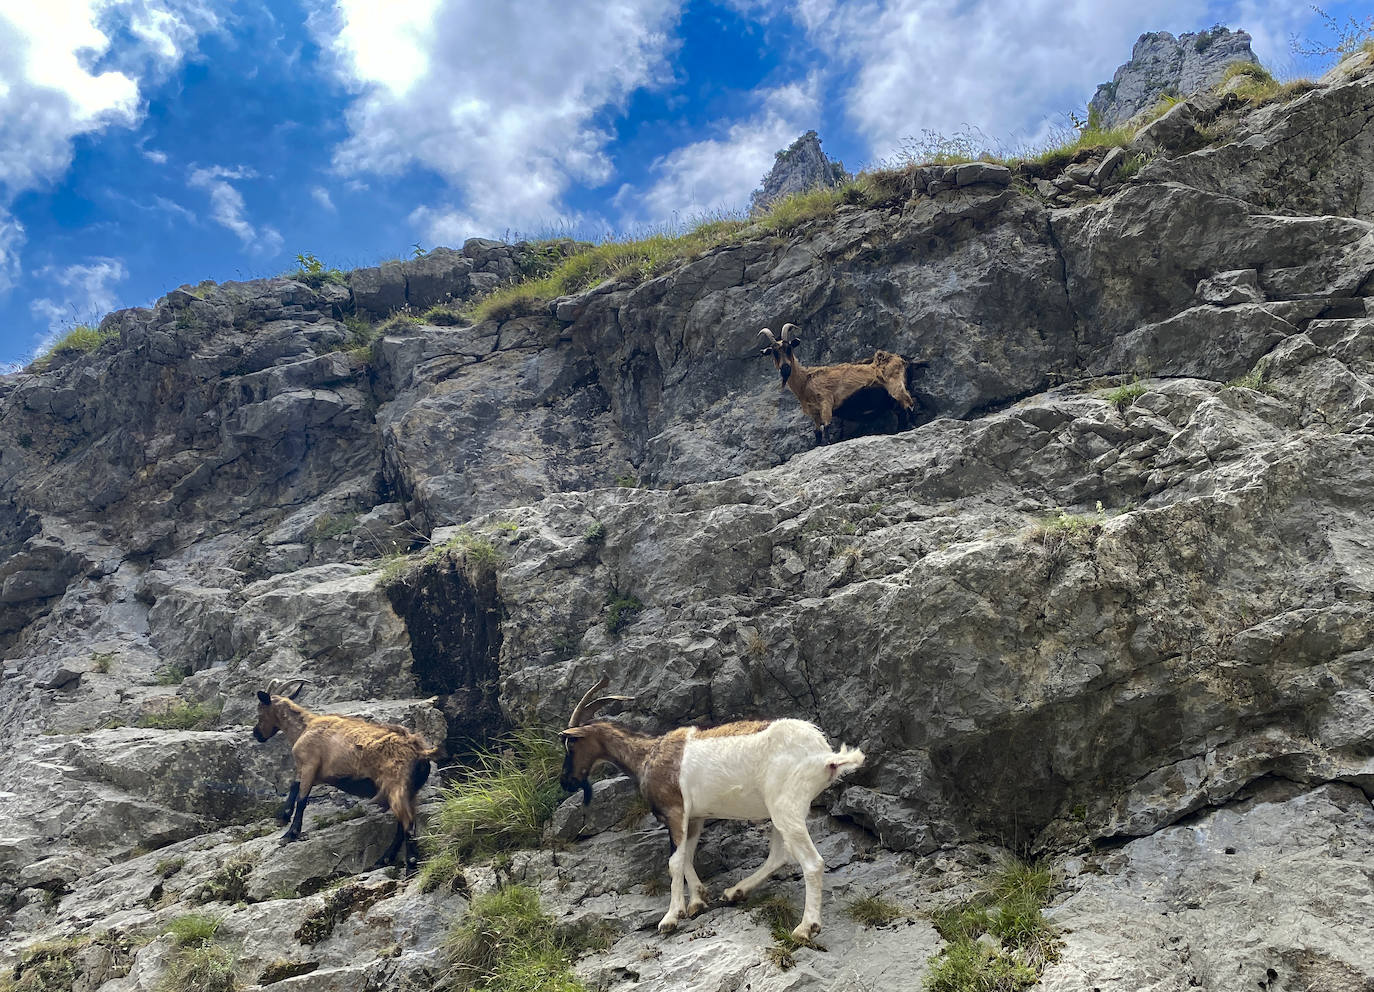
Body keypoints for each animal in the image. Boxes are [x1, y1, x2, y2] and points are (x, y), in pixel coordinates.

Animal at [250, 681, 436, 868]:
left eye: (260, 711)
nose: (256, 734)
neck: (304, 727)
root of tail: (421, 752)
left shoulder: (310, 765)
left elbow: (302, 800)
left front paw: (290, 834)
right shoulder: (308, 770)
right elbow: (294, 786)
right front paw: (284, 816)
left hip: (397, 787)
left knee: (408, 824)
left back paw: (409, 864)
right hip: (409, 791)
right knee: (402, 825)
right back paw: (384, 859)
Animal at [555, 675, 857, 939]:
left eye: (572, 743)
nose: (566, 782)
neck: (648, 754)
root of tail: (825, 756)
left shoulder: (675, 810)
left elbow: (674, 861)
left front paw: (670, 918)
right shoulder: (694, 817)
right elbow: (687, 856)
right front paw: (698, 900)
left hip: (786, 808)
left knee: (812, 863)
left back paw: (806, 928)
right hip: (782, 811)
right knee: (779, 856)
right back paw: (735, 892)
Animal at [758, 320, 917, 445]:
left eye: (789, 348)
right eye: (774, 352)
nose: (785, 368)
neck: (806, 380)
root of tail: (902, 360)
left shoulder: (826, 401)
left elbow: (827, 426)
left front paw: (827, 443)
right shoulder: (814, 413)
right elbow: (817, 432)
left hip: (896, 386)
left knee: (909, 403)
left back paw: (912, 426)